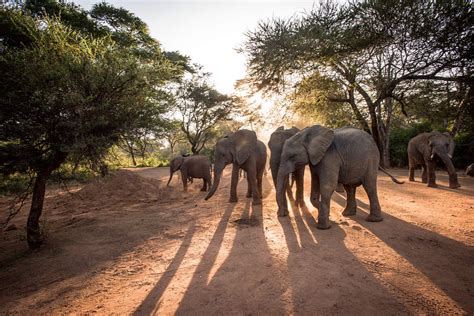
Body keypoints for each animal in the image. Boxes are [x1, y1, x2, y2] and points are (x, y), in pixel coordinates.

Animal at [274, 125, 404, 230]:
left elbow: (327, 186)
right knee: (349, 188)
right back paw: (347, 214)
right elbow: (315, 185)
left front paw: (323, 226)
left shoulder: (329, 157)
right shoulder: (316, 160)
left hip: (371, 159)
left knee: (369, 186)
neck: (307, 134)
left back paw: (373, 220)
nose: (282, 215)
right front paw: (325, 213)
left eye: (292, 156)